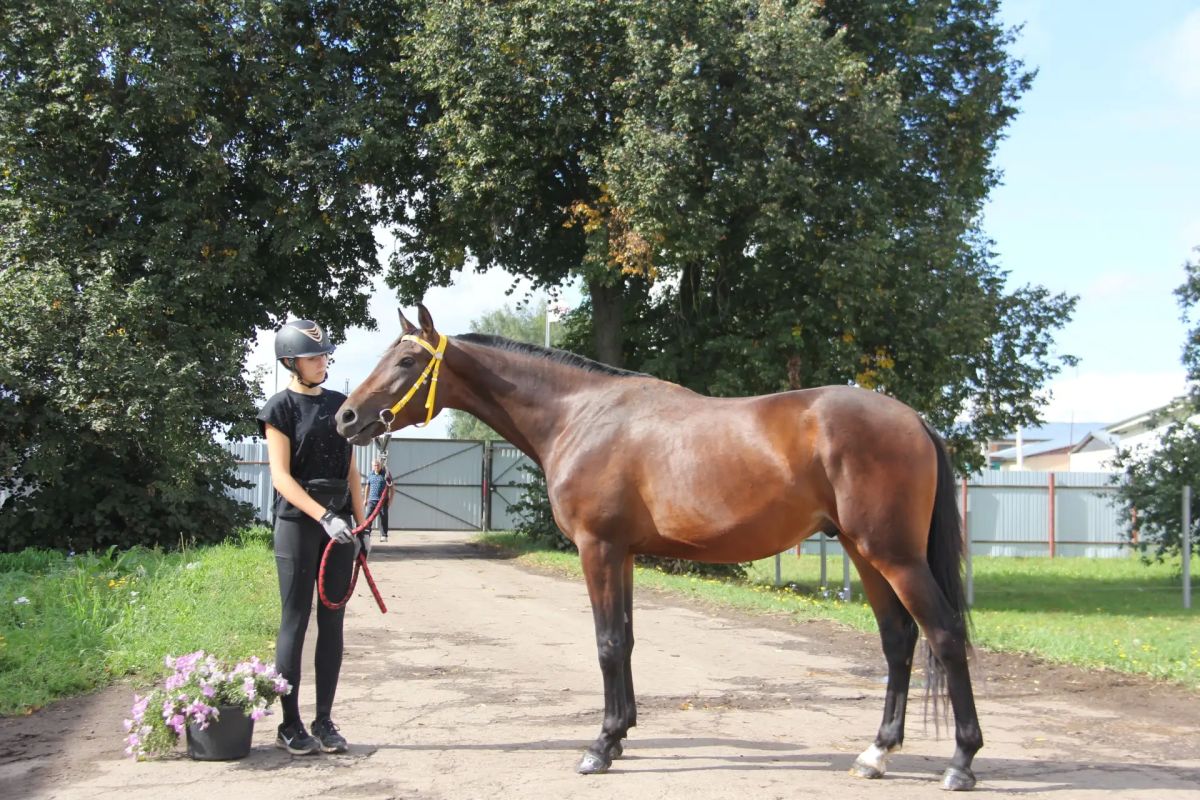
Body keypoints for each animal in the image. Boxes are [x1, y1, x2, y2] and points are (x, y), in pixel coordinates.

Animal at [335, 304, 982, 791]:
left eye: (408, 360)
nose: (345, 417)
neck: (580, 415)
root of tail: (915, 420)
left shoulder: (597, 548)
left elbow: (605, 643)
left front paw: (599, 746)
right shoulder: (621, 553)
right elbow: (624, 640)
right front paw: (620, 734)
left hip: (894, 556)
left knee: (945, 635)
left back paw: (961, 762)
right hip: (863, 552)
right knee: (898, 641)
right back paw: (876, 753)